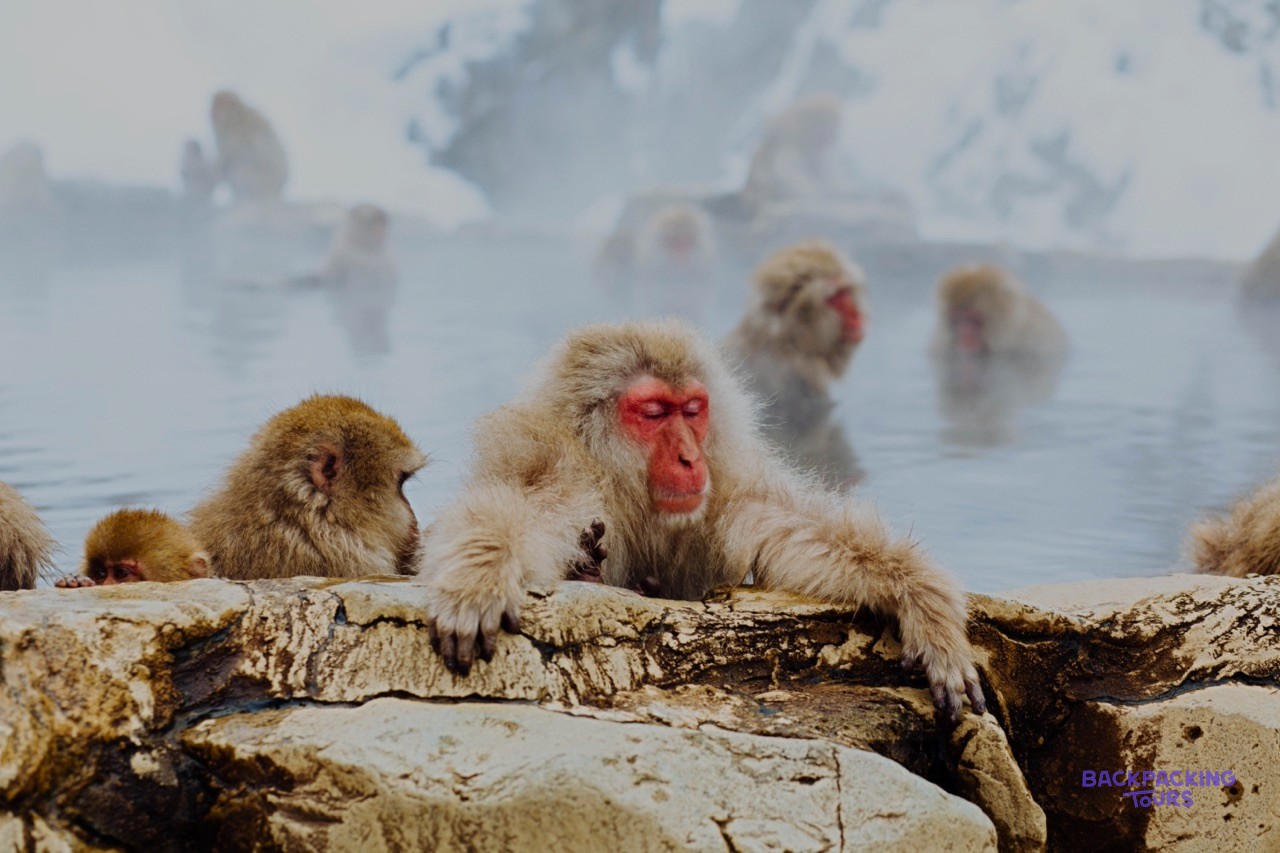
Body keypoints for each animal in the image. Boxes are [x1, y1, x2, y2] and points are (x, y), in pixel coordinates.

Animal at [418, 320, 985, 724]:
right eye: (653, 412)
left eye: (692, 410)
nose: (690, 458)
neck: (623, 486)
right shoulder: (557, 467)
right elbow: (519, 510)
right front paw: (479, 575)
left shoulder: (724, 489)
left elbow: (792, 532)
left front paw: (922, 601)